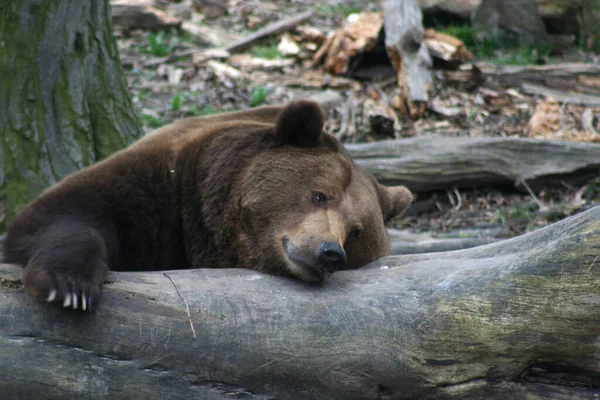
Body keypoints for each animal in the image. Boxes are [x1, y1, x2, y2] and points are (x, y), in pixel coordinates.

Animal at [2, 98, 412, 310]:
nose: (329, 252)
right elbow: (66, 214)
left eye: (355, 231)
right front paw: (68, 285)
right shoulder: (156, 189)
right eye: (318, 194)